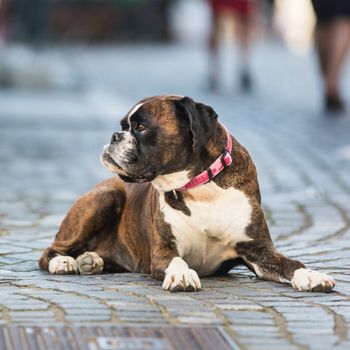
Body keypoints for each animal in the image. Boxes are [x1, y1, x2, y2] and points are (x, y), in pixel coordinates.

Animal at [39, 95, 334, 292]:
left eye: (141, 128)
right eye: (123, 126)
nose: (114, 136)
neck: (201, 187)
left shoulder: (258, 250)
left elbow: (290, 263)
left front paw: (311, 275)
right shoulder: (162, 252)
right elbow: (178, 260)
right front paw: (182, 276)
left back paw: (91, 260)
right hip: (107, 197)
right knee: (49, 252)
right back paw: (64, 262)